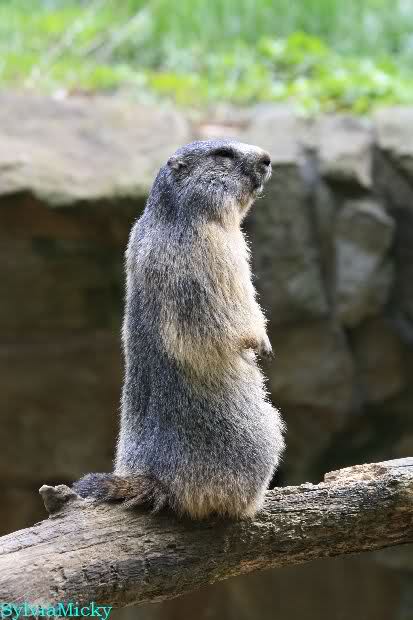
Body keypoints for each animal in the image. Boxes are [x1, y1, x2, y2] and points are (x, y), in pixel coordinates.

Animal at [73, 139, 285, 519]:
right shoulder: (217, 250)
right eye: (223, 154)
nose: (267, 157)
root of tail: (155, 477)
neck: (176, 214)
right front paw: (261, 343)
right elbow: (232, 309)